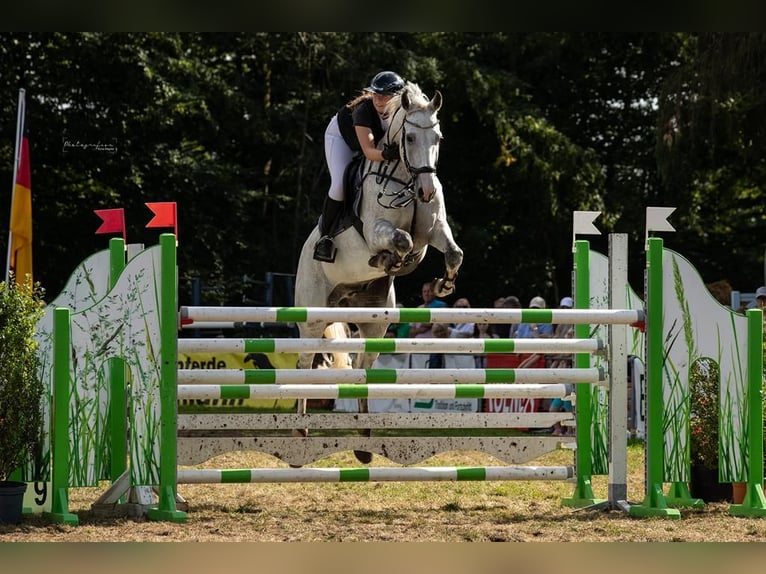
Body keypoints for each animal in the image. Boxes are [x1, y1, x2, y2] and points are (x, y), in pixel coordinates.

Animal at [292, 81, 462, 466]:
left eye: (439, 137)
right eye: (410, 137)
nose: (426, 190)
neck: (405, 178)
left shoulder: (436, 231)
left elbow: (452, 251)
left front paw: (442, 284)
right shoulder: (375, 230)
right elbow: (400, 240)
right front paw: (389, 260)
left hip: (375, 324)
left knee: (362, 369)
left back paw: (364, 443)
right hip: (312, 317)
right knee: (304, 364)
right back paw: (298, 436)